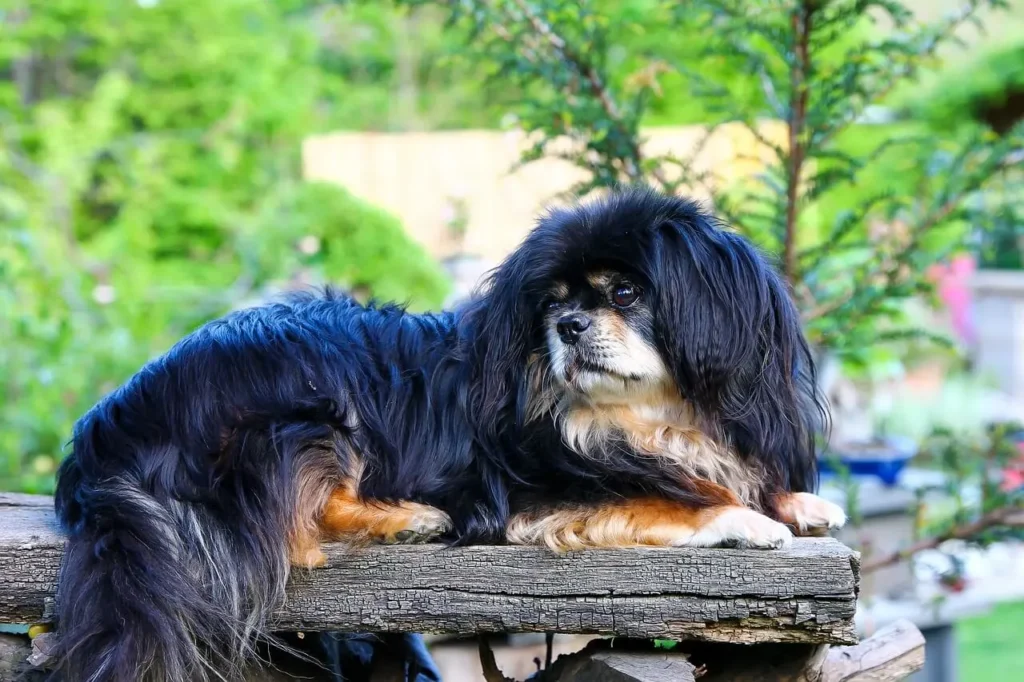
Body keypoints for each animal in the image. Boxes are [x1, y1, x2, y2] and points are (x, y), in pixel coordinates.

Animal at [51, 186, 843, 679]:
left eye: (625, 293)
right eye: (552, 304)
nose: (567, 326)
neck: (647, 416)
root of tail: (105, 424)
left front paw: (799, 503)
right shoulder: (538, 497)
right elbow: (668, 500)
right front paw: (742, 518)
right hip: (312, 410)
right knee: (301, 530)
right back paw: (406, 518)